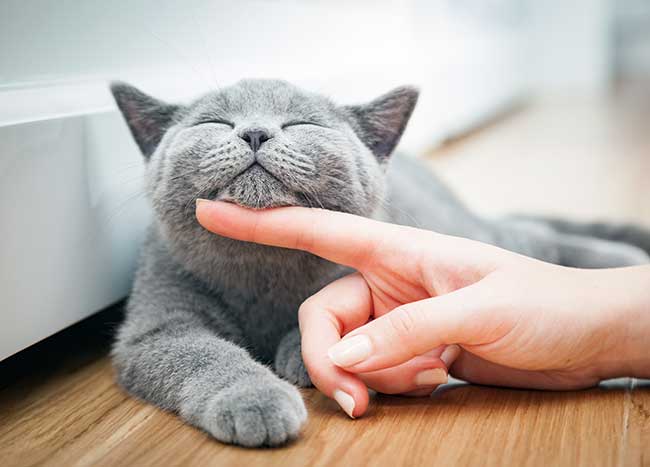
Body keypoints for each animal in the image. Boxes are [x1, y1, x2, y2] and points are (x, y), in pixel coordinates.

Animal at [109, 78, 644, 448]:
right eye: (214, 123)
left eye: (303, 124)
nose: (255, 131)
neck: (262, 270)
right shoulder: (157, 326)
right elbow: (203, 353)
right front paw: (255, 399)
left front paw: (300, 353)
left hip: (461, 231)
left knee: (529, 237)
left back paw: (622, 260)